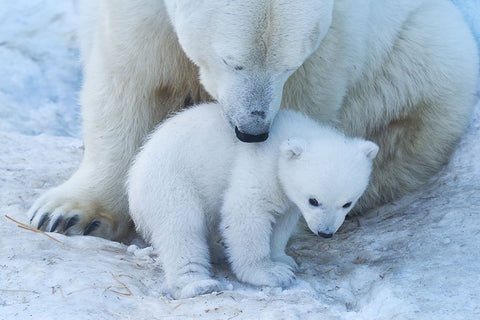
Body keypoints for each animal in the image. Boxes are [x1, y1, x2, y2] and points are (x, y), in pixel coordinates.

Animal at [28, 0, 478, 240]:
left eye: (289, 64)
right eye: (232, 60)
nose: (252, 130)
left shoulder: (334, 40)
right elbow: (130, 77)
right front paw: (68, 215)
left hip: (422, 55)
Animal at [127, 104, 378, 298]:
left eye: (347, 203)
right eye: (314, 200)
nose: (325, 233)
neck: (290, 135)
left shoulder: (287, 195)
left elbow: (282, 222)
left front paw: (283, 260)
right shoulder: (260, 165)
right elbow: (246, 213)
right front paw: (271, 273)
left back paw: (216, 251)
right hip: (171, 182)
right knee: (181, 229)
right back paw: (197, 284)